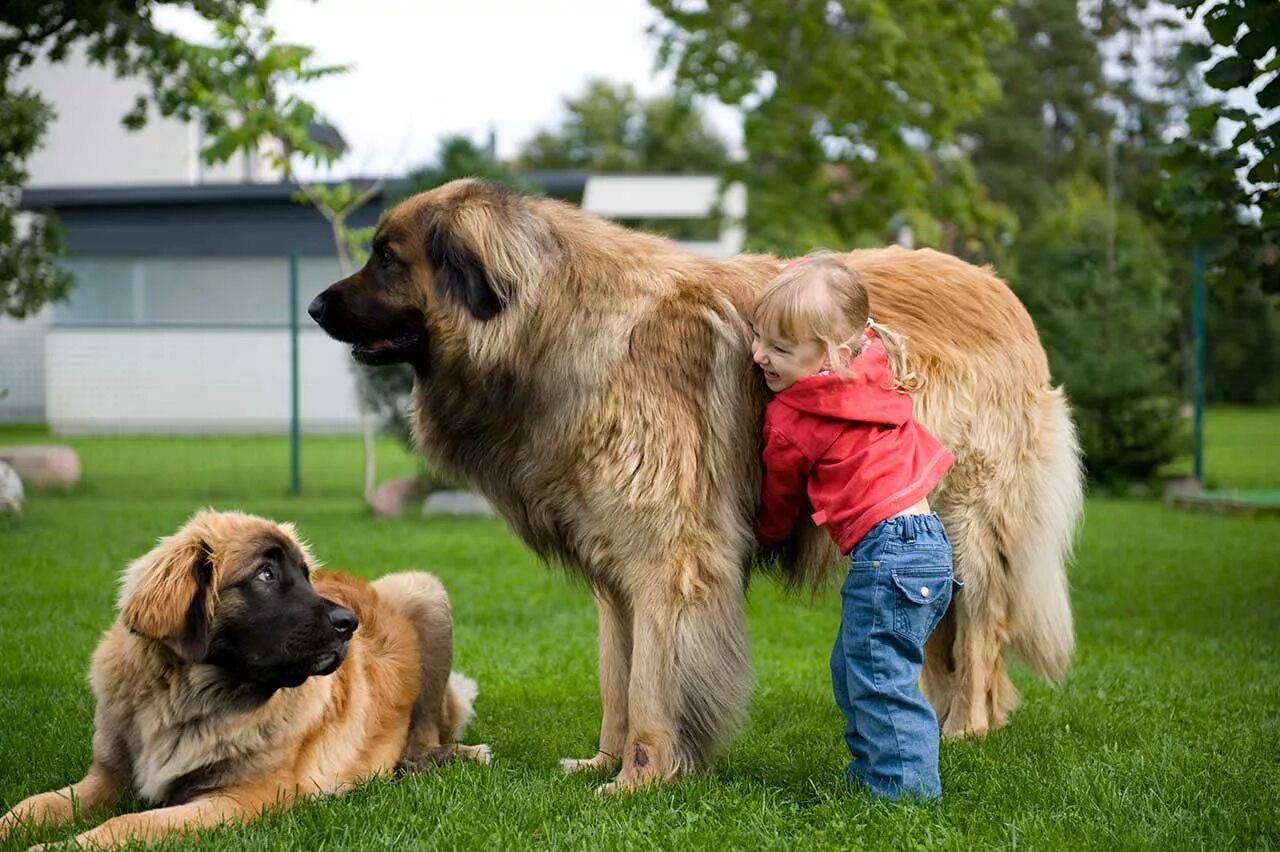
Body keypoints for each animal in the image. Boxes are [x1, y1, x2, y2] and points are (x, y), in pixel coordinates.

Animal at [0, 506, 488, 844]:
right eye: (265, 574)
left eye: (306, 577)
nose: (350, 623)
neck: (187, 699)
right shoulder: (104, 780)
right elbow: (31, 806)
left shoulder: (238, 798)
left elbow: (126, 824)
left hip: (424, 590)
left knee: (423, 736)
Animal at [309, 177, 1080, 788]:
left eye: (387, 257)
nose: (315, 307)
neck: (554, 323)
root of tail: (998, 287)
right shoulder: (616, 571)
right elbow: (617, 679)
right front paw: (603, 762)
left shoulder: (671, 560)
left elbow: (654, 684)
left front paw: (640, 780)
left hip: (965, 521)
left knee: (980, 629)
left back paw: (966, 727)